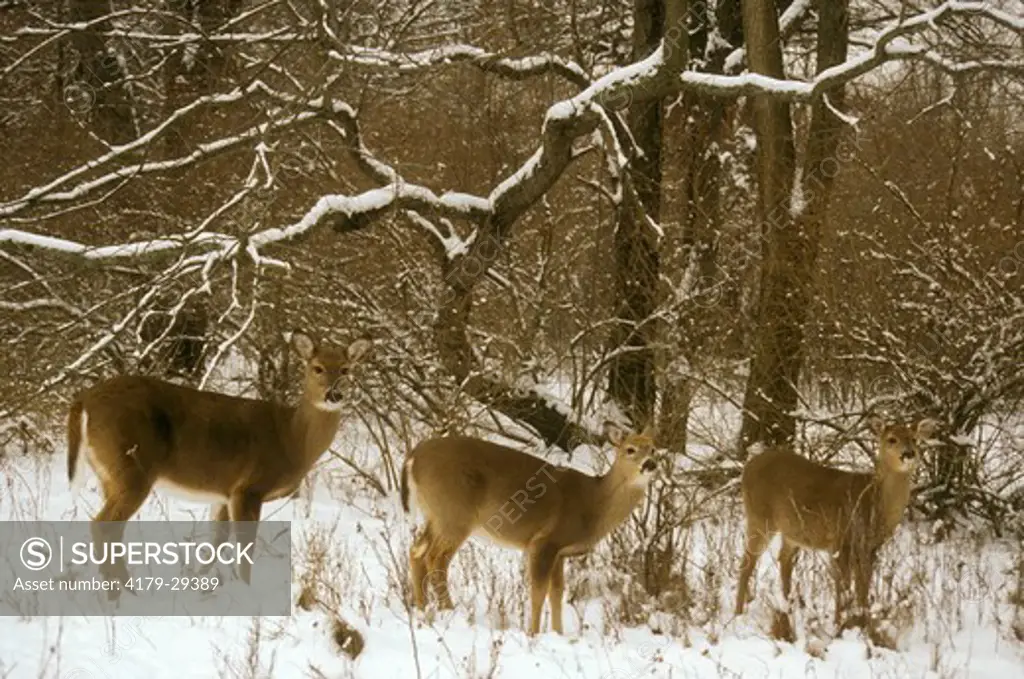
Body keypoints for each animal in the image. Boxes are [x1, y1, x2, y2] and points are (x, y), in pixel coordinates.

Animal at [65, 333, 368, 589]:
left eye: (345, 369)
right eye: (317, 367)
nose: (334, 394)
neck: (292, 440)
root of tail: (84, 400)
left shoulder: (224, 493)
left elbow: (217, 541)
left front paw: (200, 584)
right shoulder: (249, 488)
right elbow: (244, 547)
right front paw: (245, 592)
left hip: (108, 473)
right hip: (132, 469)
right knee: (104, 524)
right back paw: (122, 593)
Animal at [395, 426, 659, 639]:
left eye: (654, 449)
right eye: (630, 449)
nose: (650, 464)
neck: (594, 505)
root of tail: (413, 457)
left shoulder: (560, 552)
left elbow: (556, 593)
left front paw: (558, 633)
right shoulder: (544, 542)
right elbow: (538, 591)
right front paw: (533, 633)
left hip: (435, 515)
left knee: (416, 551)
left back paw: (421, 608)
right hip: (454, 514)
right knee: (435, 559)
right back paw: (449, 610)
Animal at [733, 413, 937, 630]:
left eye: (914, 439)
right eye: (891, 439)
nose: (909, 454)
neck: (873, 502)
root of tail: (747, 467)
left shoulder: (870, 548)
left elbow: (863, 588)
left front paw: (862, 623)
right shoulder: (842, 540)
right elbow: (844, 586)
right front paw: (840, 625)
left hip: (791, 531)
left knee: (783, 559)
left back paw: (787, 607)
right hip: (759, 517)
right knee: (747, 562)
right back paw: (738, 613)